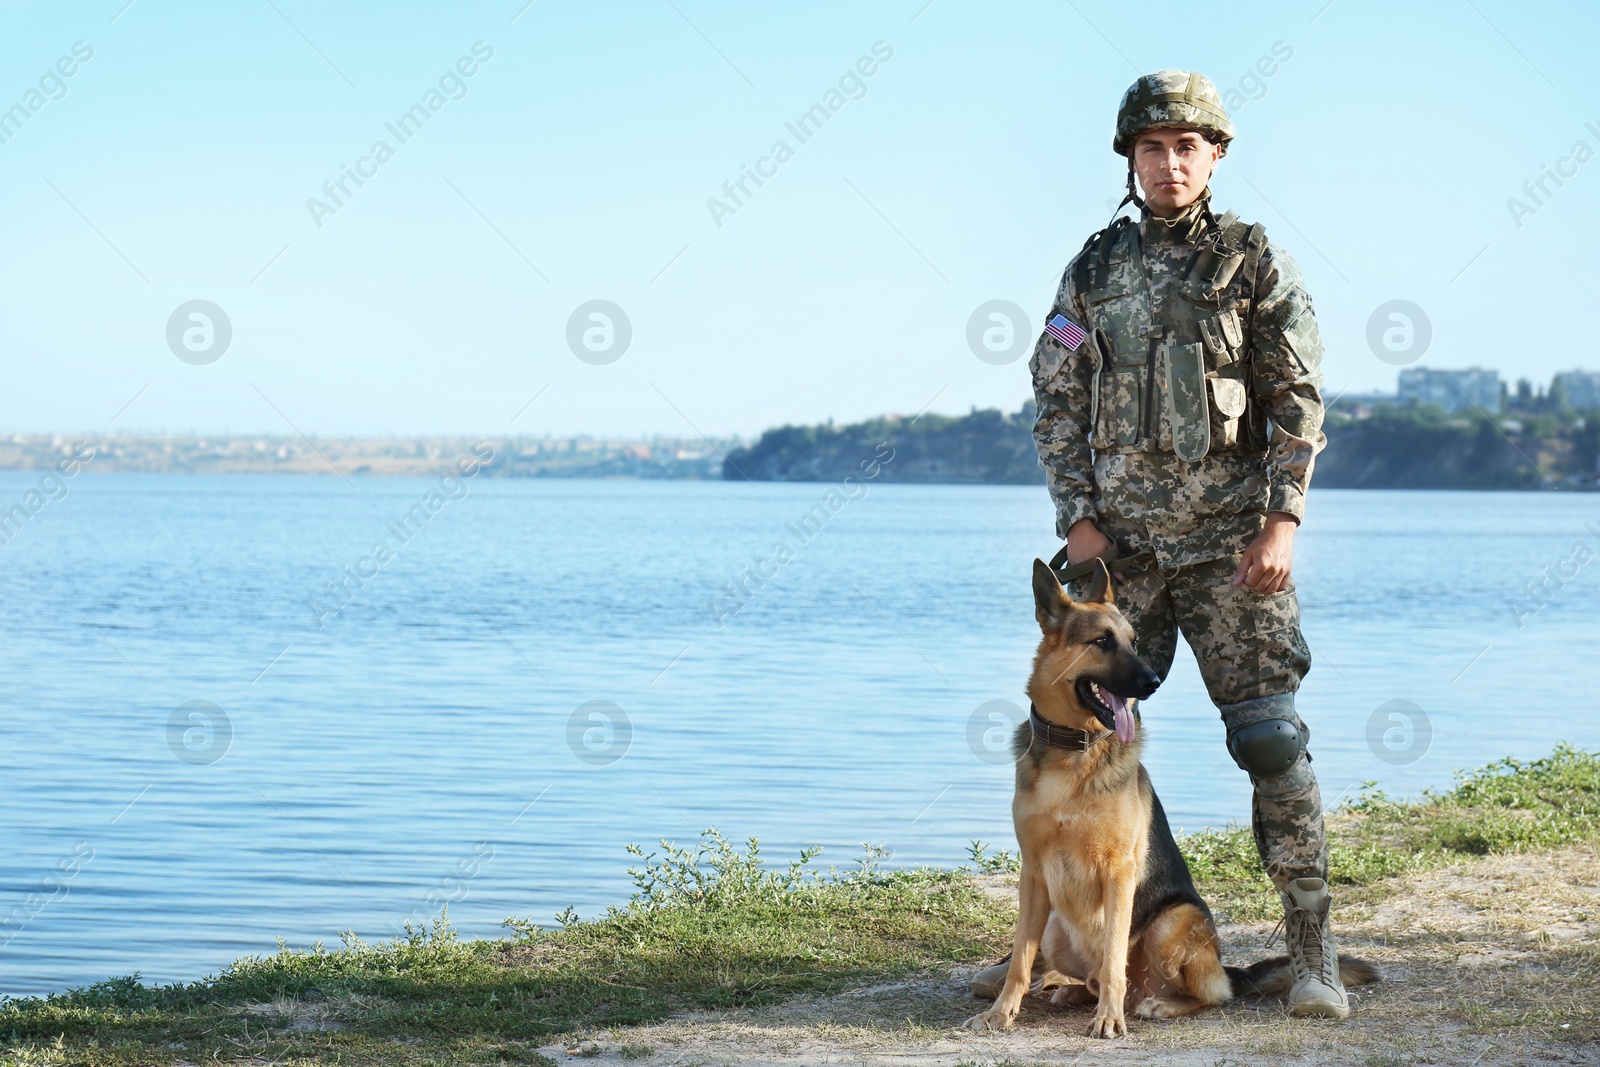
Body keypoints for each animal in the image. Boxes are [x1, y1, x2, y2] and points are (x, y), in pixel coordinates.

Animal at [960, 556, 1376, 1036]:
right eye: (1102, 641)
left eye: (1133, 641)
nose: (1153, 681)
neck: (1075, 752)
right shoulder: (1033, 875)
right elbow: (1021, 961)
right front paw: (1001, 1012)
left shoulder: (1118, 871)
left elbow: (1114, 958)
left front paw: (1108, 1021)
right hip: (1054, 930)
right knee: (1091, 978)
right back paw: (1074, 992)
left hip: (1173, 921)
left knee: (1200, 993)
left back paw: (1151, 1004)